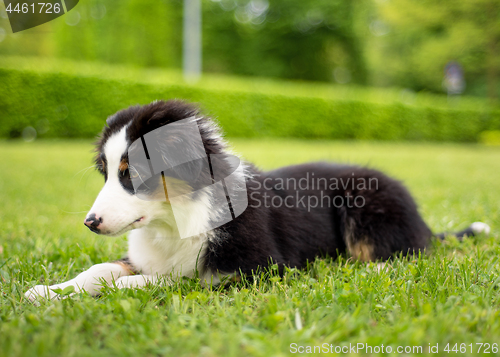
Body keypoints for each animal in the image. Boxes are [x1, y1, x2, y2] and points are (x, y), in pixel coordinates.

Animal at [25, 99, 490, 300]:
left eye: (132, 174)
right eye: (105, 172)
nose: (90, 222)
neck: (174, 222)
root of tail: (424, 220)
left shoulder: (259, 267)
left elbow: (178, 277)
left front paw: (125, 286)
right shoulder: (143, 253)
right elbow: (102, 269)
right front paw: (50, 291)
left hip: (364, 203)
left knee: (395, 254)